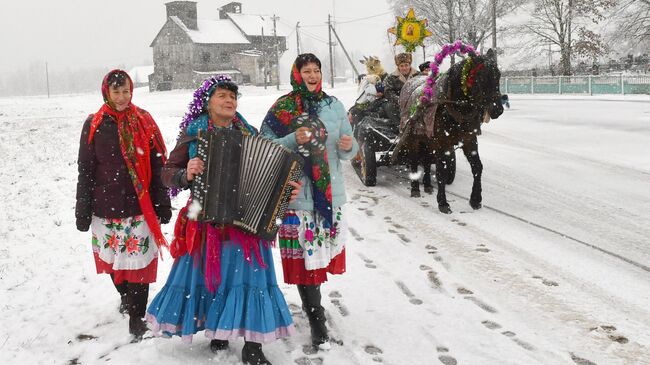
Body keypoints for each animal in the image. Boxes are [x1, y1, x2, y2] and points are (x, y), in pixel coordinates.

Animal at [392, 48, 504, 213]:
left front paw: (475, 199)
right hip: (413, 138)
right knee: (414, 160)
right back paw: (415, 189)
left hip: (427, 139)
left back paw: (427, 185)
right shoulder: (442, 143)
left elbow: (477, 167)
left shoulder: (469, 139)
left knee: (426, 160)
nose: (498, 109)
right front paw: (443, 202)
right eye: (481, 76)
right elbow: (441, 171)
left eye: (499, 75)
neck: (454, 107)